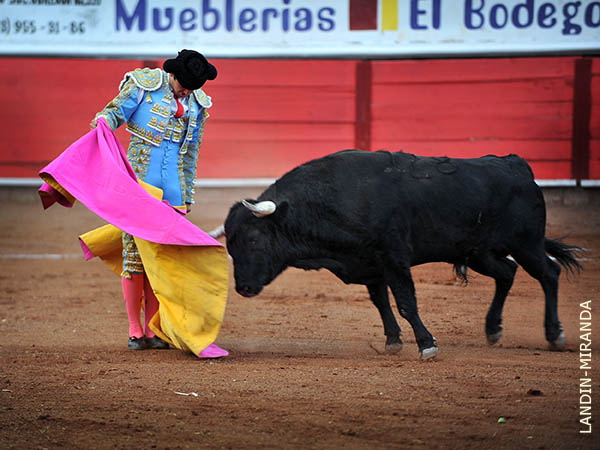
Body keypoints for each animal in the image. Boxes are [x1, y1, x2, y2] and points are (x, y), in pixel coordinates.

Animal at [218, 149, 580, 360]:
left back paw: (554, 334)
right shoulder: (369, 264)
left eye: (253, 239)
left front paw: (427, 344)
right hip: (480, 252)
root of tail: (517, 165)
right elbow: (381, 302)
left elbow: (406, 302)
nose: (243, 288)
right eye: (230, 245)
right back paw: (493, 329)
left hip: (527, 244)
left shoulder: (393, 257)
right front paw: (393, 341)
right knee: (506, 273)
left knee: (548, 274)